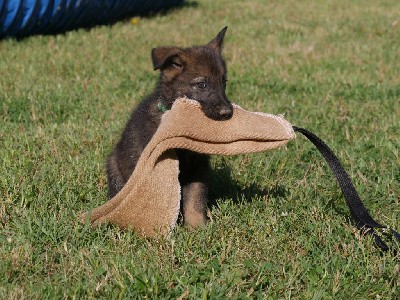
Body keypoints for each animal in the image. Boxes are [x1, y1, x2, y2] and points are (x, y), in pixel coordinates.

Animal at [106, 28, 233, 229]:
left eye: (224, 82)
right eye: (202, 84)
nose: (228, 113)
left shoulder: (198, 168)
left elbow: (195, 200)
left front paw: (197, 228)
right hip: (114, 167)